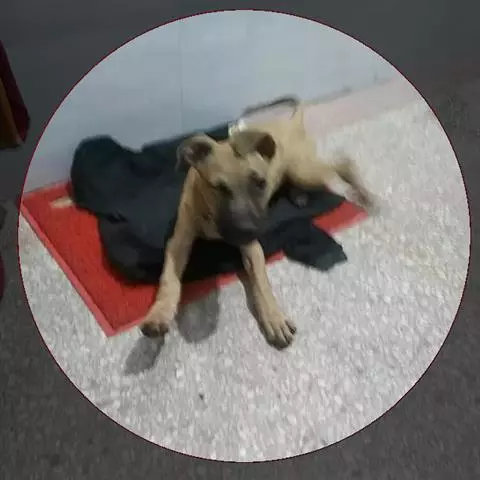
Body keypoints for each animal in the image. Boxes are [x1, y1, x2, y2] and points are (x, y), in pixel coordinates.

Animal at [139, 96, 376, 348]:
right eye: (218, 188)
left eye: (260, 183)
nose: (249, 230)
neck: (211, 216)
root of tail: (290, 123)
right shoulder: (179, 241)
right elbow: (169, 278)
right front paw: (159, 313)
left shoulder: (251, 248)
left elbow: (261, 284)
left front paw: (273, 318)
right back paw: (300, 196)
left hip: (304, 171)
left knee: (342, 164)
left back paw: (367, 197)